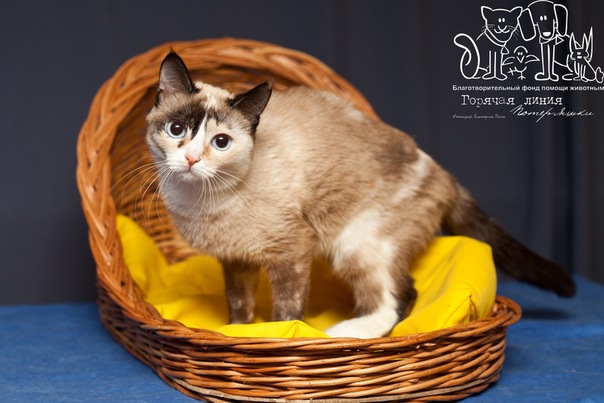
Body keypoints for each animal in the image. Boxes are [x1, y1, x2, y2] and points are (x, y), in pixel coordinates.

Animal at [145, 51, 575, 338]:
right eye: (176, 129)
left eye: (221, 142)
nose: (191, 158)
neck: (200, 202)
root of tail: (444, 173)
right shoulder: (236, 262)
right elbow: (239, 308)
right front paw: (239, 331)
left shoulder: (291, 253)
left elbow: (287, 313)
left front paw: (280, 335)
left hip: (356, 245)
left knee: (399, 299)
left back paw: (344, 332)